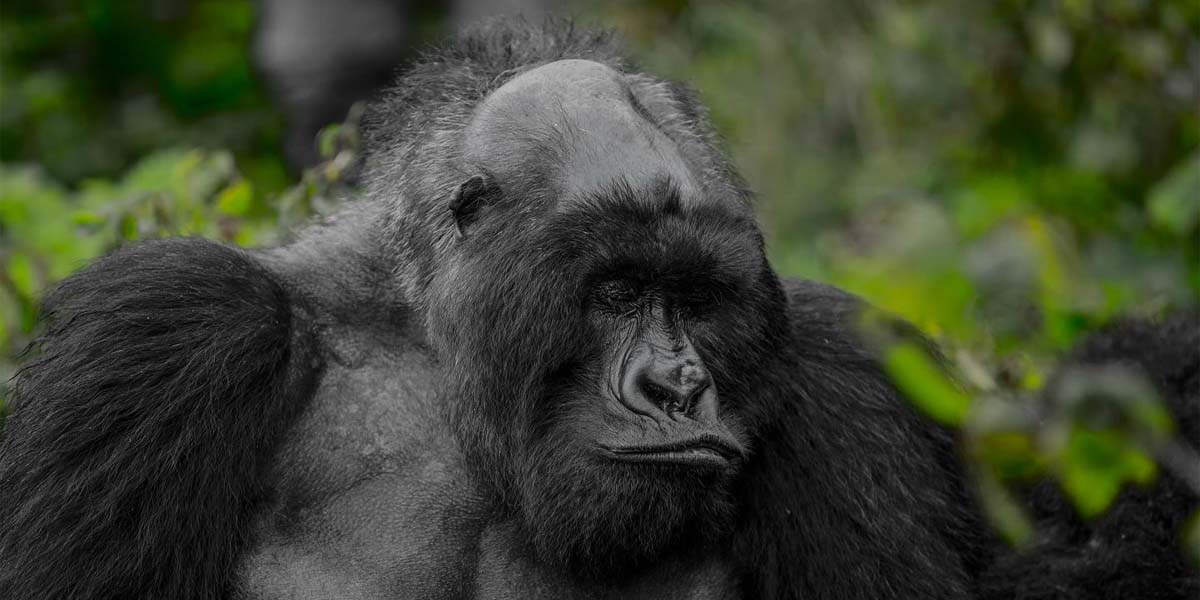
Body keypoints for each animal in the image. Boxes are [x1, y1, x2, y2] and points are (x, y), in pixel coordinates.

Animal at [0, 18, 1195, 600]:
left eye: (695, 300)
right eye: (618, 290)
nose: (679, 383)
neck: (445, 358)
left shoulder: (837, 374)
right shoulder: (168, 334)